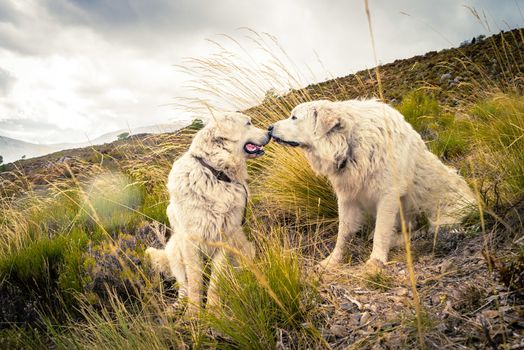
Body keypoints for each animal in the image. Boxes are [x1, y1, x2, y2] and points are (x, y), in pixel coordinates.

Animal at [146, 113, 270, 314]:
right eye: (248, 123)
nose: (270, 131)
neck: (216, 174)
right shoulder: (190, 242)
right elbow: (195, 283)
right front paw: (194, 313)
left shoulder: (224, 240)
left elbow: (215, 283)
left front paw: (214, 311)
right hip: (174, 249)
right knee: (183, 286)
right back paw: (177, 307)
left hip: (245, 250)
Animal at [268, 100, 476, 266]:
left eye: (294, 117)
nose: (269, 128)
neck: (350, 143)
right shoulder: (347, 198)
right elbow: (343, 234)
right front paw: (332, 260)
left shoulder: (388, 196)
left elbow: (381, 233)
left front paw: (376, 261)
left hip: (442, 218)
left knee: (424, 231)